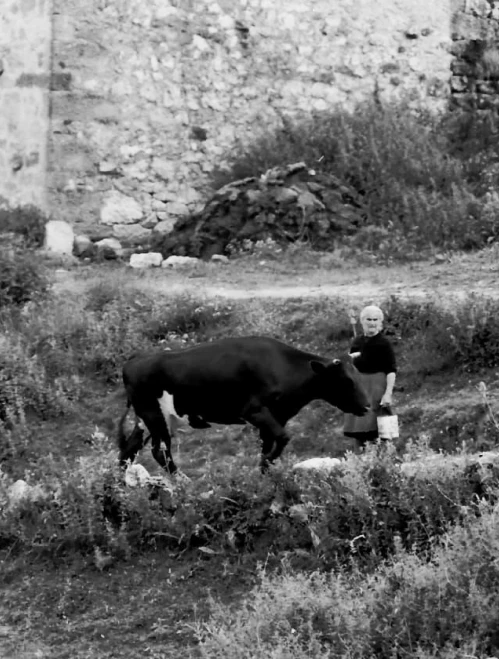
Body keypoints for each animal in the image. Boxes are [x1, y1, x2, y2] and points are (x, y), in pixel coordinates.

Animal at [117, 336, 370, 474]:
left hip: (146, 420)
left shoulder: (276, 416)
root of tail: (133, 360)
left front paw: (266, 472)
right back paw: (182, 483)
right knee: (160, 452)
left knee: (128, 449)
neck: (283, 366)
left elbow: (270, 444)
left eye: (359, 376)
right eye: (346, 381)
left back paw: (119, 490)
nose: (367, 407)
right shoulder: (254, 411)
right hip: (154, 416)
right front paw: (265, 464)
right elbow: (283, 438)